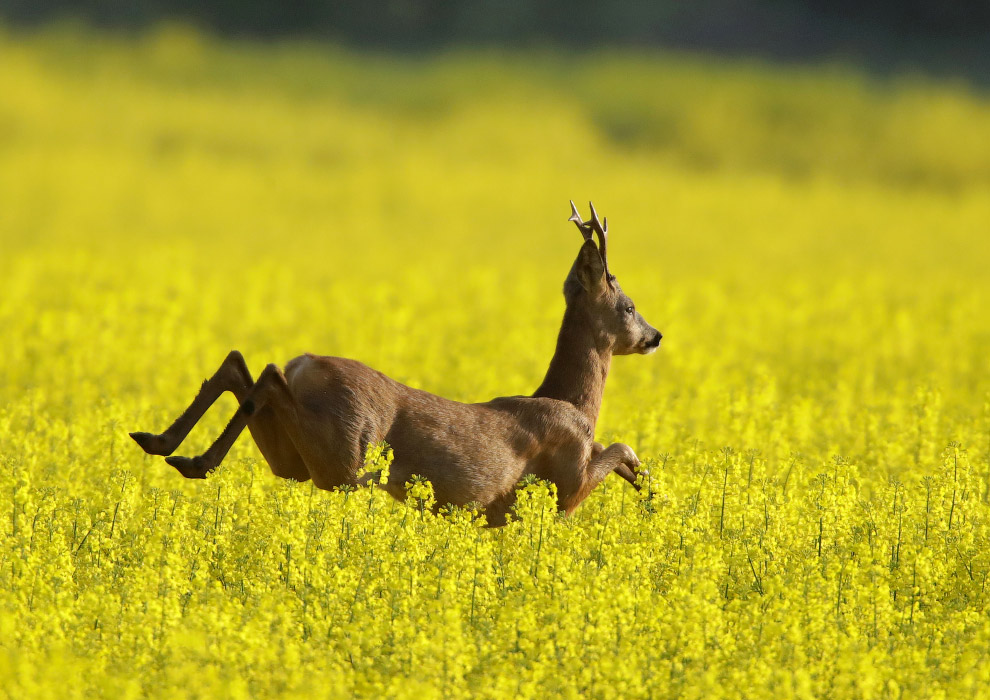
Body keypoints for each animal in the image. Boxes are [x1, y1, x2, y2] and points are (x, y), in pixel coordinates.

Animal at [128, 200, 664, 524]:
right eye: (629, 306)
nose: (655, 337)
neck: (572, 402)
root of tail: (307, 365)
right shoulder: (566, 488)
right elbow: (620, 447)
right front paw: (652, 490)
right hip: (345, 457)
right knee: (267, 374)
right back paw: (192, 457)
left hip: (298, 462)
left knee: (242, 366)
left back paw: (166, 444)